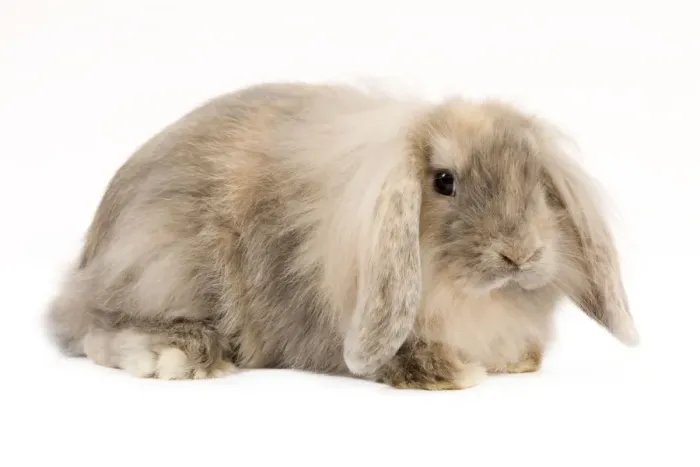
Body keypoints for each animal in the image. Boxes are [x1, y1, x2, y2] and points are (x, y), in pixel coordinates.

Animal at [45, 81, 638, 389]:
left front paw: (517, 361)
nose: (520, 254)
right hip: (164, 267)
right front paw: (454, 372)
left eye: (537, 183)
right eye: (444, 181)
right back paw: (177, 356)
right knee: (97, 330)